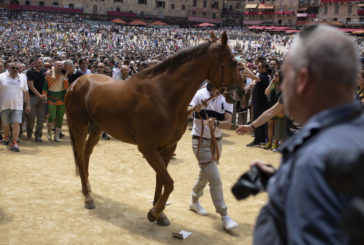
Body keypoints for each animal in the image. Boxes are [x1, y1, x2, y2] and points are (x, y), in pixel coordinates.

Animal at [64, 32, 243, 226]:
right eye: (234, 62)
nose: (242, 90)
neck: (164, 97)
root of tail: (76, 83)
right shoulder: (148, 148)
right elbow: (169, 182)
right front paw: (154, 212)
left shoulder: (168, 147)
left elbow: (161, 180)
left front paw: (160, 213)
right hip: (79, 126)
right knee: (80, 156)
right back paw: (88, 197)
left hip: (96, 128)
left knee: (86, 154)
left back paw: (88, 187)